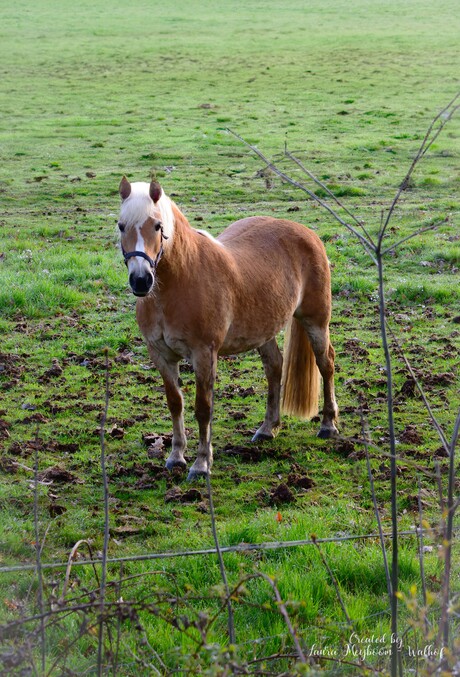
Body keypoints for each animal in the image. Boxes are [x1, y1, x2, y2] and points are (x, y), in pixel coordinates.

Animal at [117, 177, 338, 480]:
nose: (141, 280)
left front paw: (201, 464)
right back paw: (267, 428)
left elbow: (203, 408)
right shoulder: (161, 355)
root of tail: (307, 233)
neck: (178, 282)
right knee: (275, 367)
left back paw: (328, 425)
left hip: (316, 321)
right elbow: (175, 403)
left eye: (158, 226)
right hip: (264, 330)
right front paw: (176, 457)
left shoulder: (204, 354)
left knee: (325, 363)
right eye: (121, 226)